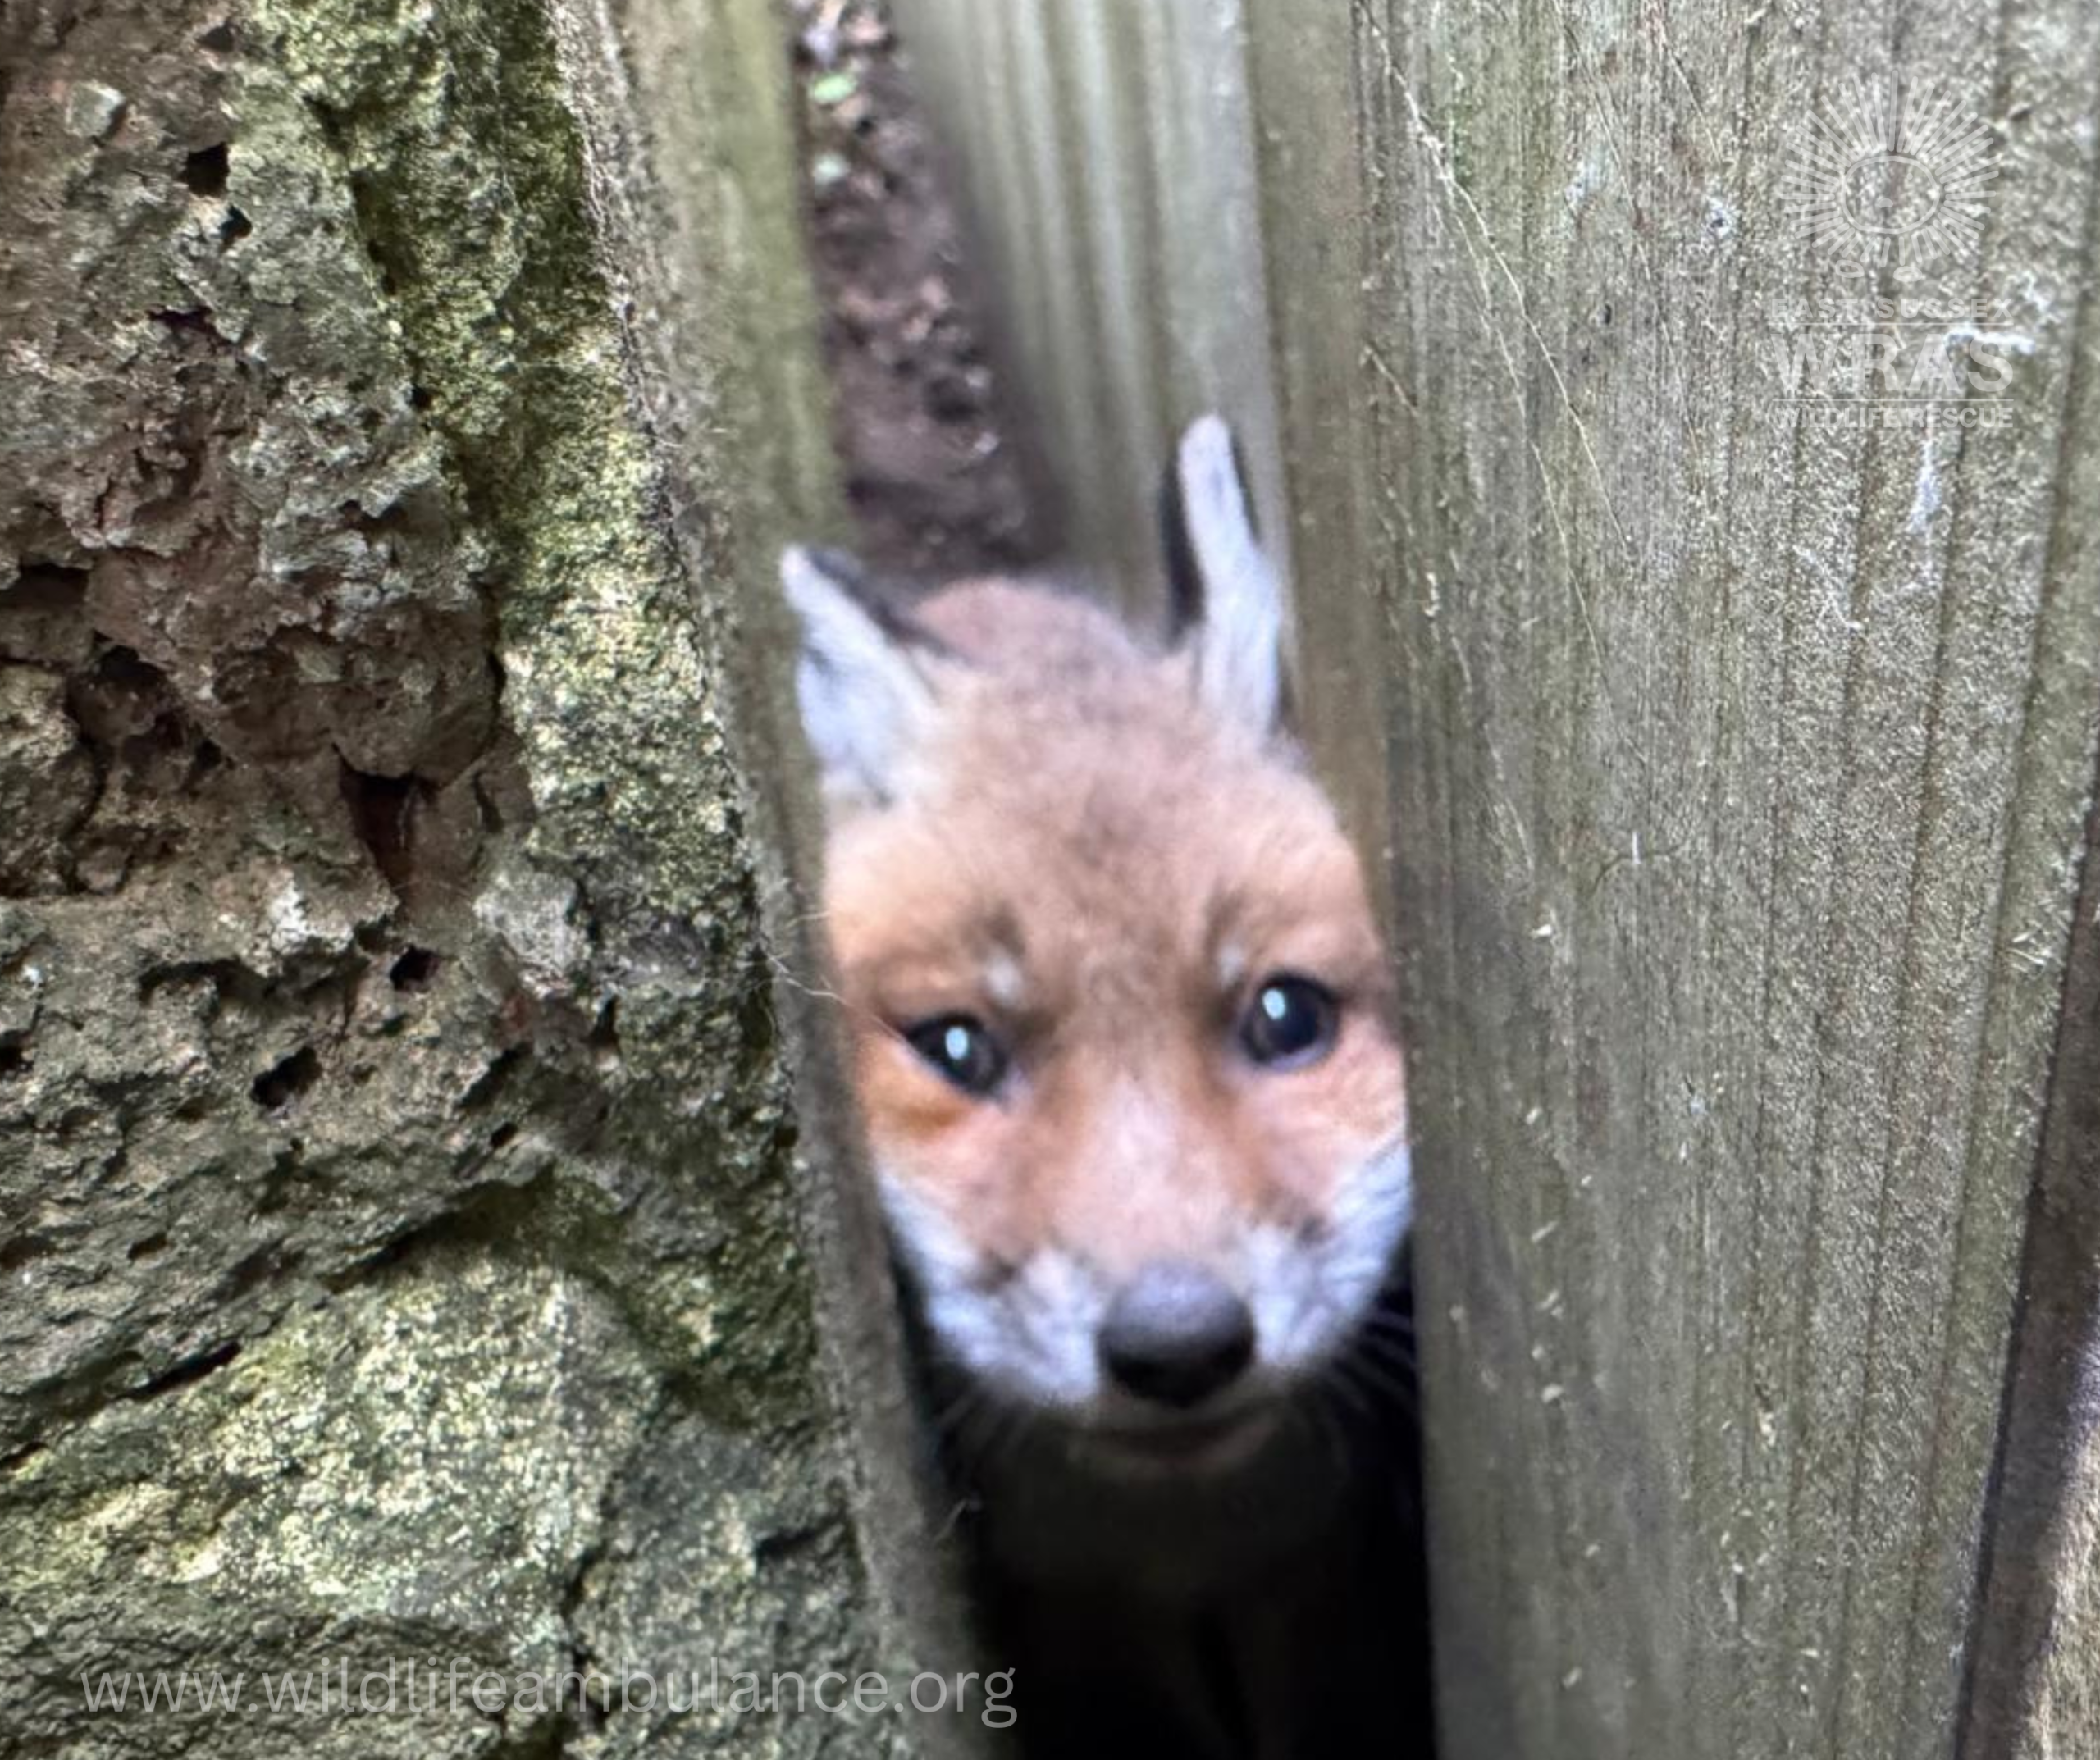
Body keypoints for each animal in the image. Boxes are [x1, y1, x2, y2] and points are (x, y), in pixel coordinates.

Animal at [780, 416, 1433, 1758]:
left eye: (1286, 1017)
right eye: (957, 1048)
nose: (1177, 1346)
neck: (1176, 1546)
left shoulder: (1302, 1574)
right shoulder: (1086, 1613)